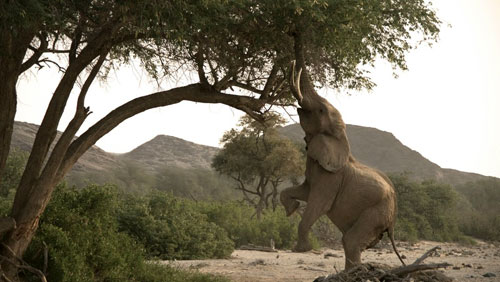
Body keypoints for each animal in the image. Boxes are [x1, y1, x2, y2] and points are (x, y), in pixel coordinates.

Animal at [280, 50, 404, 268]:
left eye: (321, 110)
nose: (293, 62)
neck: (340, 137)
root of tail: (393, 222)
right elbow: (302, 191)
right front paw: (291, 209)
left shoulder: (332, 178)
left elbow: (319, 204)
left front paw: (302, 250)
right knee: (350, 241)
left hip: (377, 211)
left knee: (351, 240)